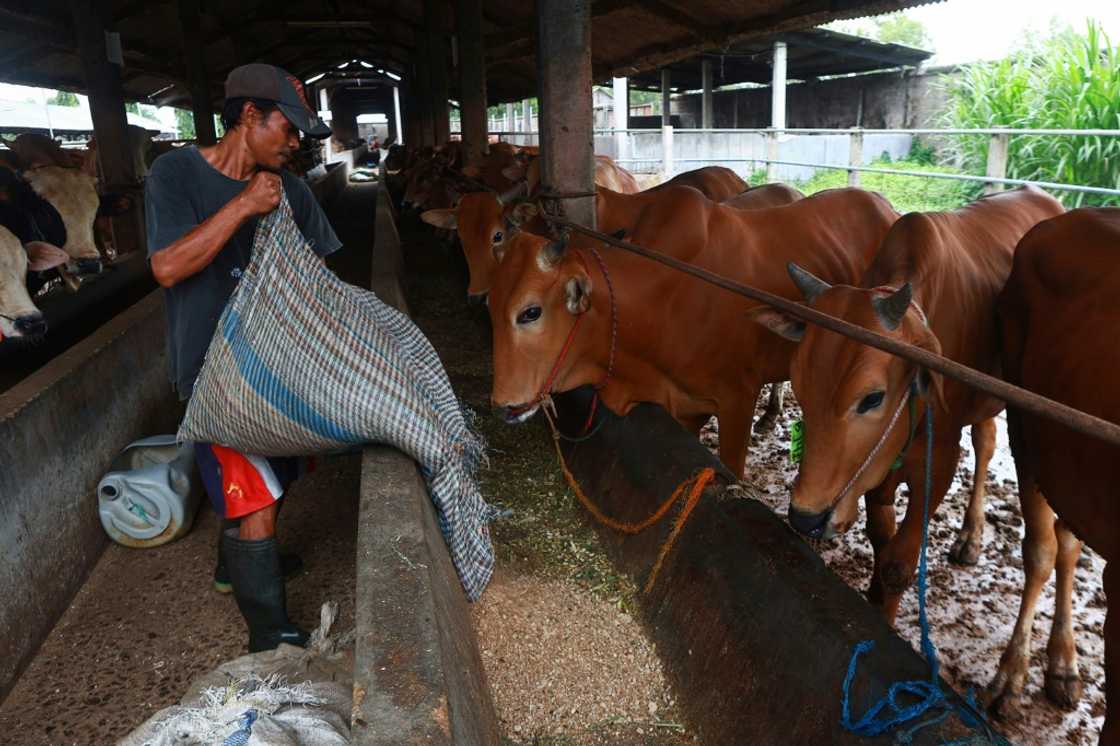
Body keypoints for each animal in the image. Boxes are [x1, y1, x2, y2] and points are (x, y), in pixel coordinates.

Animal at [748, 187, 1061, 622]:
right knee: (985, 436)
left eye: (872, 398)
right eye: (801, 386)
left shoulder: (939, 462)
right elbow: (881, 542)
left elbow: (898, 562)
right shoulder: (878, 475)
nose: (806, 517)